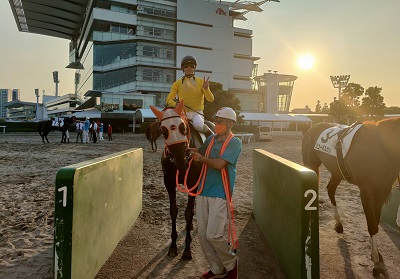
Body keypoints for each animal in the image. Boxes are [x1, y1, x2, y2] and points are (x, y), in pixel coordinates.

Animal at [149, 101, 212, 262]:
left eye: (183, 127)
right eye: (163, 130)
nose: (181, 161)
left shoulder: (193, 183)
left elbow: (188, 213)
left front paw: (187, 250)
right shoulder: (169, 183)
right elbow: (173, 210)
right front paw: (173, 247)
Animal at [302, 118, 398, 278]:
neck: (381, 147)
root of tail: (312, 128)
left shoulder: (383, 191)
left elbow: (376, 221)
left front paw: (376, 254)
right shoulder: (366, 191)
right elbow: (372, 224)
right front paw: (376, 262)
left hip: (337, 172)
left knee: (330, 189)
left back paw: (339, 223)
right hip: (311, 165)